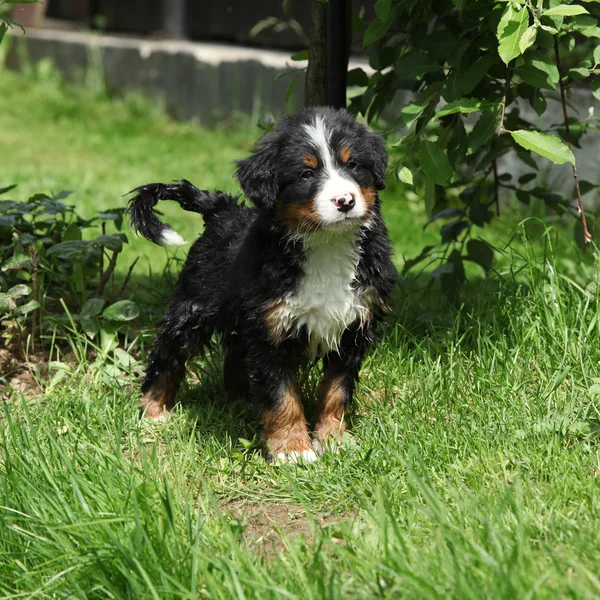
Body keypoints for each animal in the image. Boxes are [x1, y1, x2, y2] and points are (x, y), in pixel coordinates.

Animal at [127, 106, 398, 464]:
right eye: (306, 174)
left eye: (353, 165)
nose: (345, 201)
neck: (327, 244)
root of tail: (222, 208)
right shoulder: (272, 330)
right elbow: (281, 396)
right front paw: (292, 449)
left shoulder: (353, 326)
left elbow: (336, 391)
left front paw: (333, 440)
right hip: (193, 307)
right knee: (166, 356)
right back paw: (153, 413)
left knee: (235, 357)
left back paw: (241, 403)